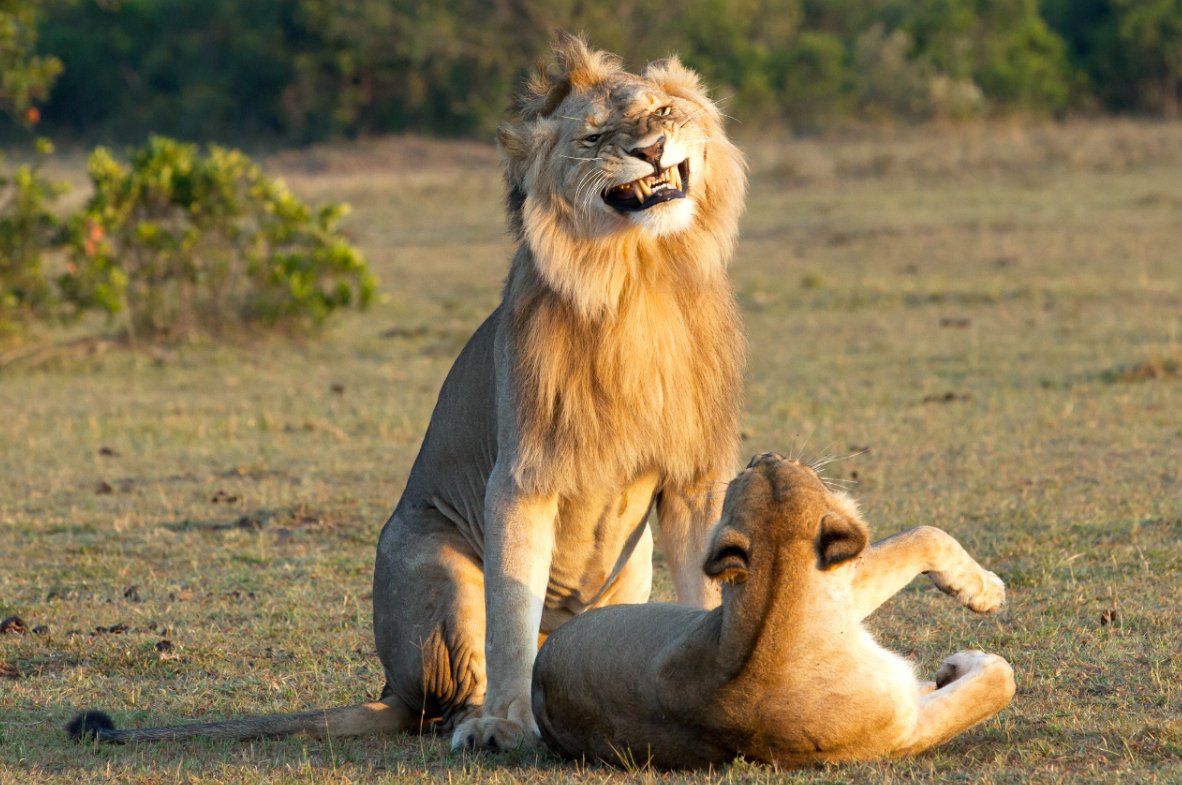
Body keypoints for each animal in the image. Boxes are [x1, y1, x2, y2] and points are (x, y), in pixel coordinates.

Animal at [69, 36, 742, 756]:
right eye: (594, 137)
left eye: (662, 111)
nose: (652, 148)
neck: (639, 276)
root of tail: (391, 685)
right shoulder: (521, 476)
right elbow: (512, 613)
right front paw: (507, 723)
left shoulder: (696, 479)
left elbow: (706, 589)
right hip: (437, 562)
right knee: (455, 691)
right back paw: (481, 723)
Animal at [536, 453, 1016, 766]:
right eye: (800, 469)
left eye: (753, 470)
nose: (764, 454)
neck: (775, 609)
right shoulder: (901, 730)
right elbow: (997, 682)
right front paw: (980, 617)